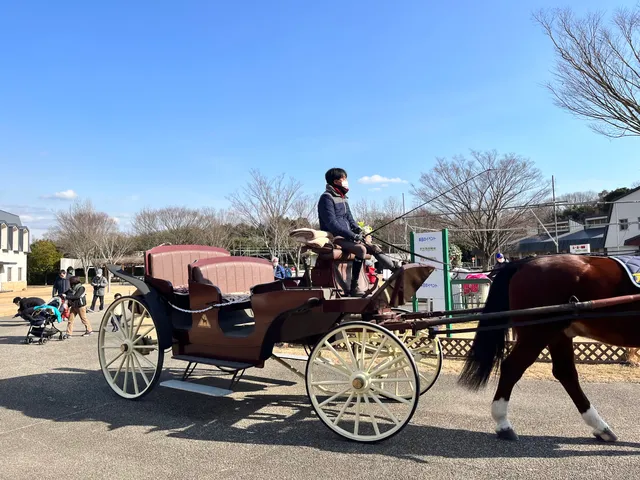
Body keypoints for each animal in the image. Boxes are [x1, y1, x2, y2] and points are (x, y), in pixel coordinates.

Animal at [458, 253, 640, 442]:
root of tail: (524, 263)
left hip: (558, 335)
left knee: (565, 374)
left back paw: (600, 427)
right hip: (537, 334)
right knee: (512, 368)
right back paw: (503, 423)